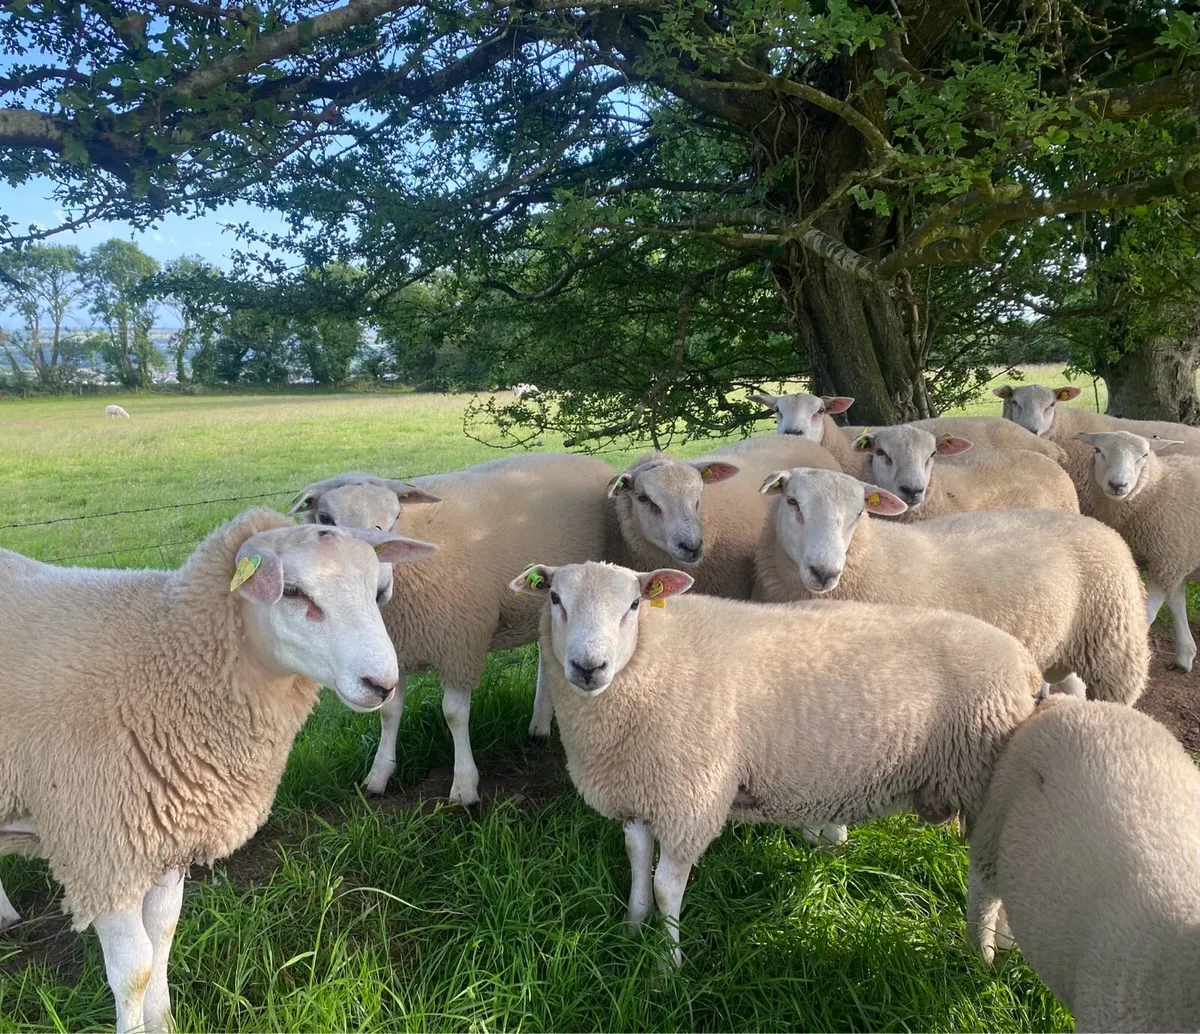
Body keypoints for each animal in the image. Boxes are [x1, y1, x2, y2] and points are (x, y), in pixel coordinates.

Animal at [0, 510, 437, 1034]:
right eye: (293, 592)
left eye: (377, 592)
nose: (382, 684)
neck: (166, 657)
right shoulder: (103, 853)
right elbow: (134, 969)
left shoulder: (166, 835)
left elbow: (163, 938)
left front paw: (164, 1024)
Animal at [289, 453, 615, 803]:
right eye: (326, 519)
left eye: (395, 517)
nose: (376, 588)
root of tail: (592, 462)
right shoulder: (397, 650)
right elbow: (389, 712)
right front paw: (378, 775)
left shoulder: (460, 646)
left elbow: (454, 715)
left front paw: (464, 787)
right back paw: (539, 725)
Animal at [511, 560, 1041, 966]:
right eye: (555, 598)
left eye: (634, 606)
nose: (588, 667)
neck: (653, 659)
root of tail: (1024, 663)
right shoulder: (640, 793)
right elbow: (638, 867)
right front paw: (631, 931)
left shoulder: (691, 802)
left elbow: (665, 889)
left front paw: (667, 965)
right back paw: (1009, 949)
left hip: (985, 784)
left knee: (990, 880)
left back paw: (985, 954)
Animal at [1075, 430, 1200, 671]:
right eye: (1098, 450)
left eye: (1144, 455)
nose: (1118, 484)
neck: (1160, 487)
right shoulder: (1171, 558)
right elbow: (1177, 603)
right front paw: (1185, 655)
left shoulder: (1169, 561)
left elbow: (1148, 615)